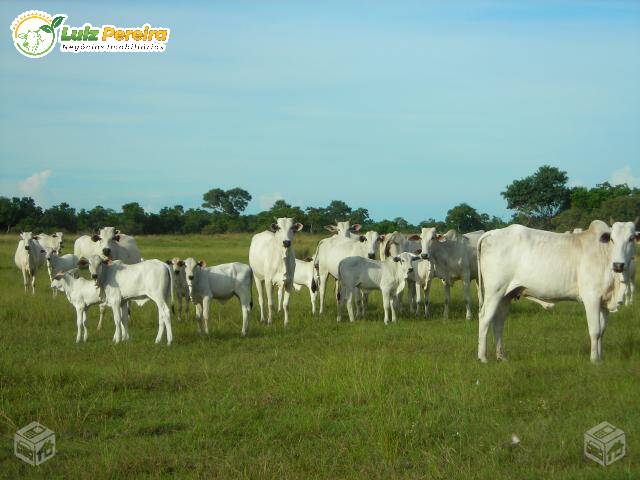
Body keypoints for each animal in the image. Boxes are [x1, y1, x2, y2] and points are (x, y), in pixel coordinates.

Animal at [476, 219, 636, 362]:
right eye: (612, 239)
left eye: (631, 238)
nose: (619, 264)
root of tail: (493, 233)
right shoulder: (592, 298)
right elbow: (595, 331)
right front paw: (594, 359)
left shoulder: (604, 302)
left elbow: (602, 331)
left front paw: (601, 357)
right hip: (494, 292)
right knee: (484, 318)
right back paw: (482, 357)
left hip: (506, 295)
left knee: (498, 323)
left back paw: (501, 357)